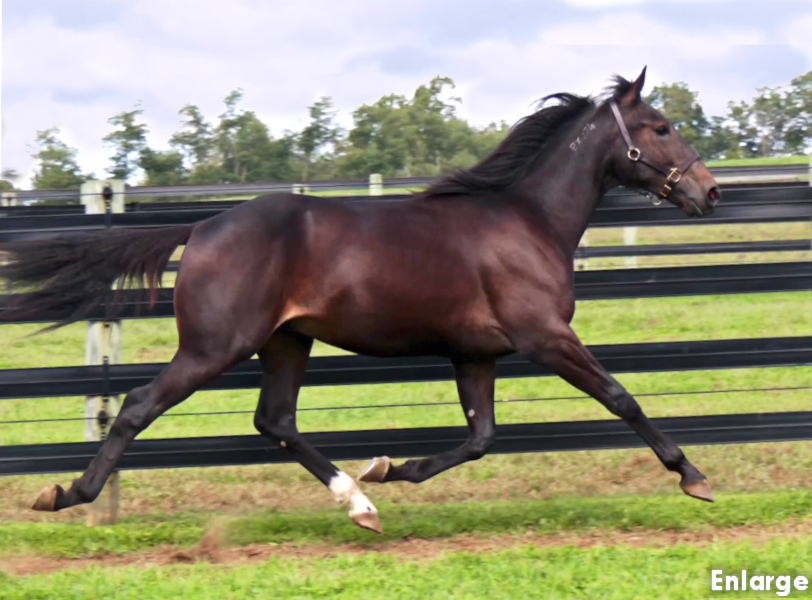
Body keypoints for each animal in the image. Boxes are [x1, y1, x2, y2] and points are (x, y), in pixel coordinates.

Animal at [3, 68, 720, 532]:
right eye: (660, 128)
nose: (709, 192)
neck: (527, 220)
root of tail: (202, 227)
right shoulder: (545, 337)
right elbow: (621, 397)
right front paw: (693, 475)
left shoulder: (476, 354)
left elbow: (480, 437)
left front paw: (386, 469)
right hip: (215, 346)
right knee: (136, 406)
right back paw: (65, 494)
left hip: (286, 341)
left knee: (276, 421)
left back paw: (361, 503)